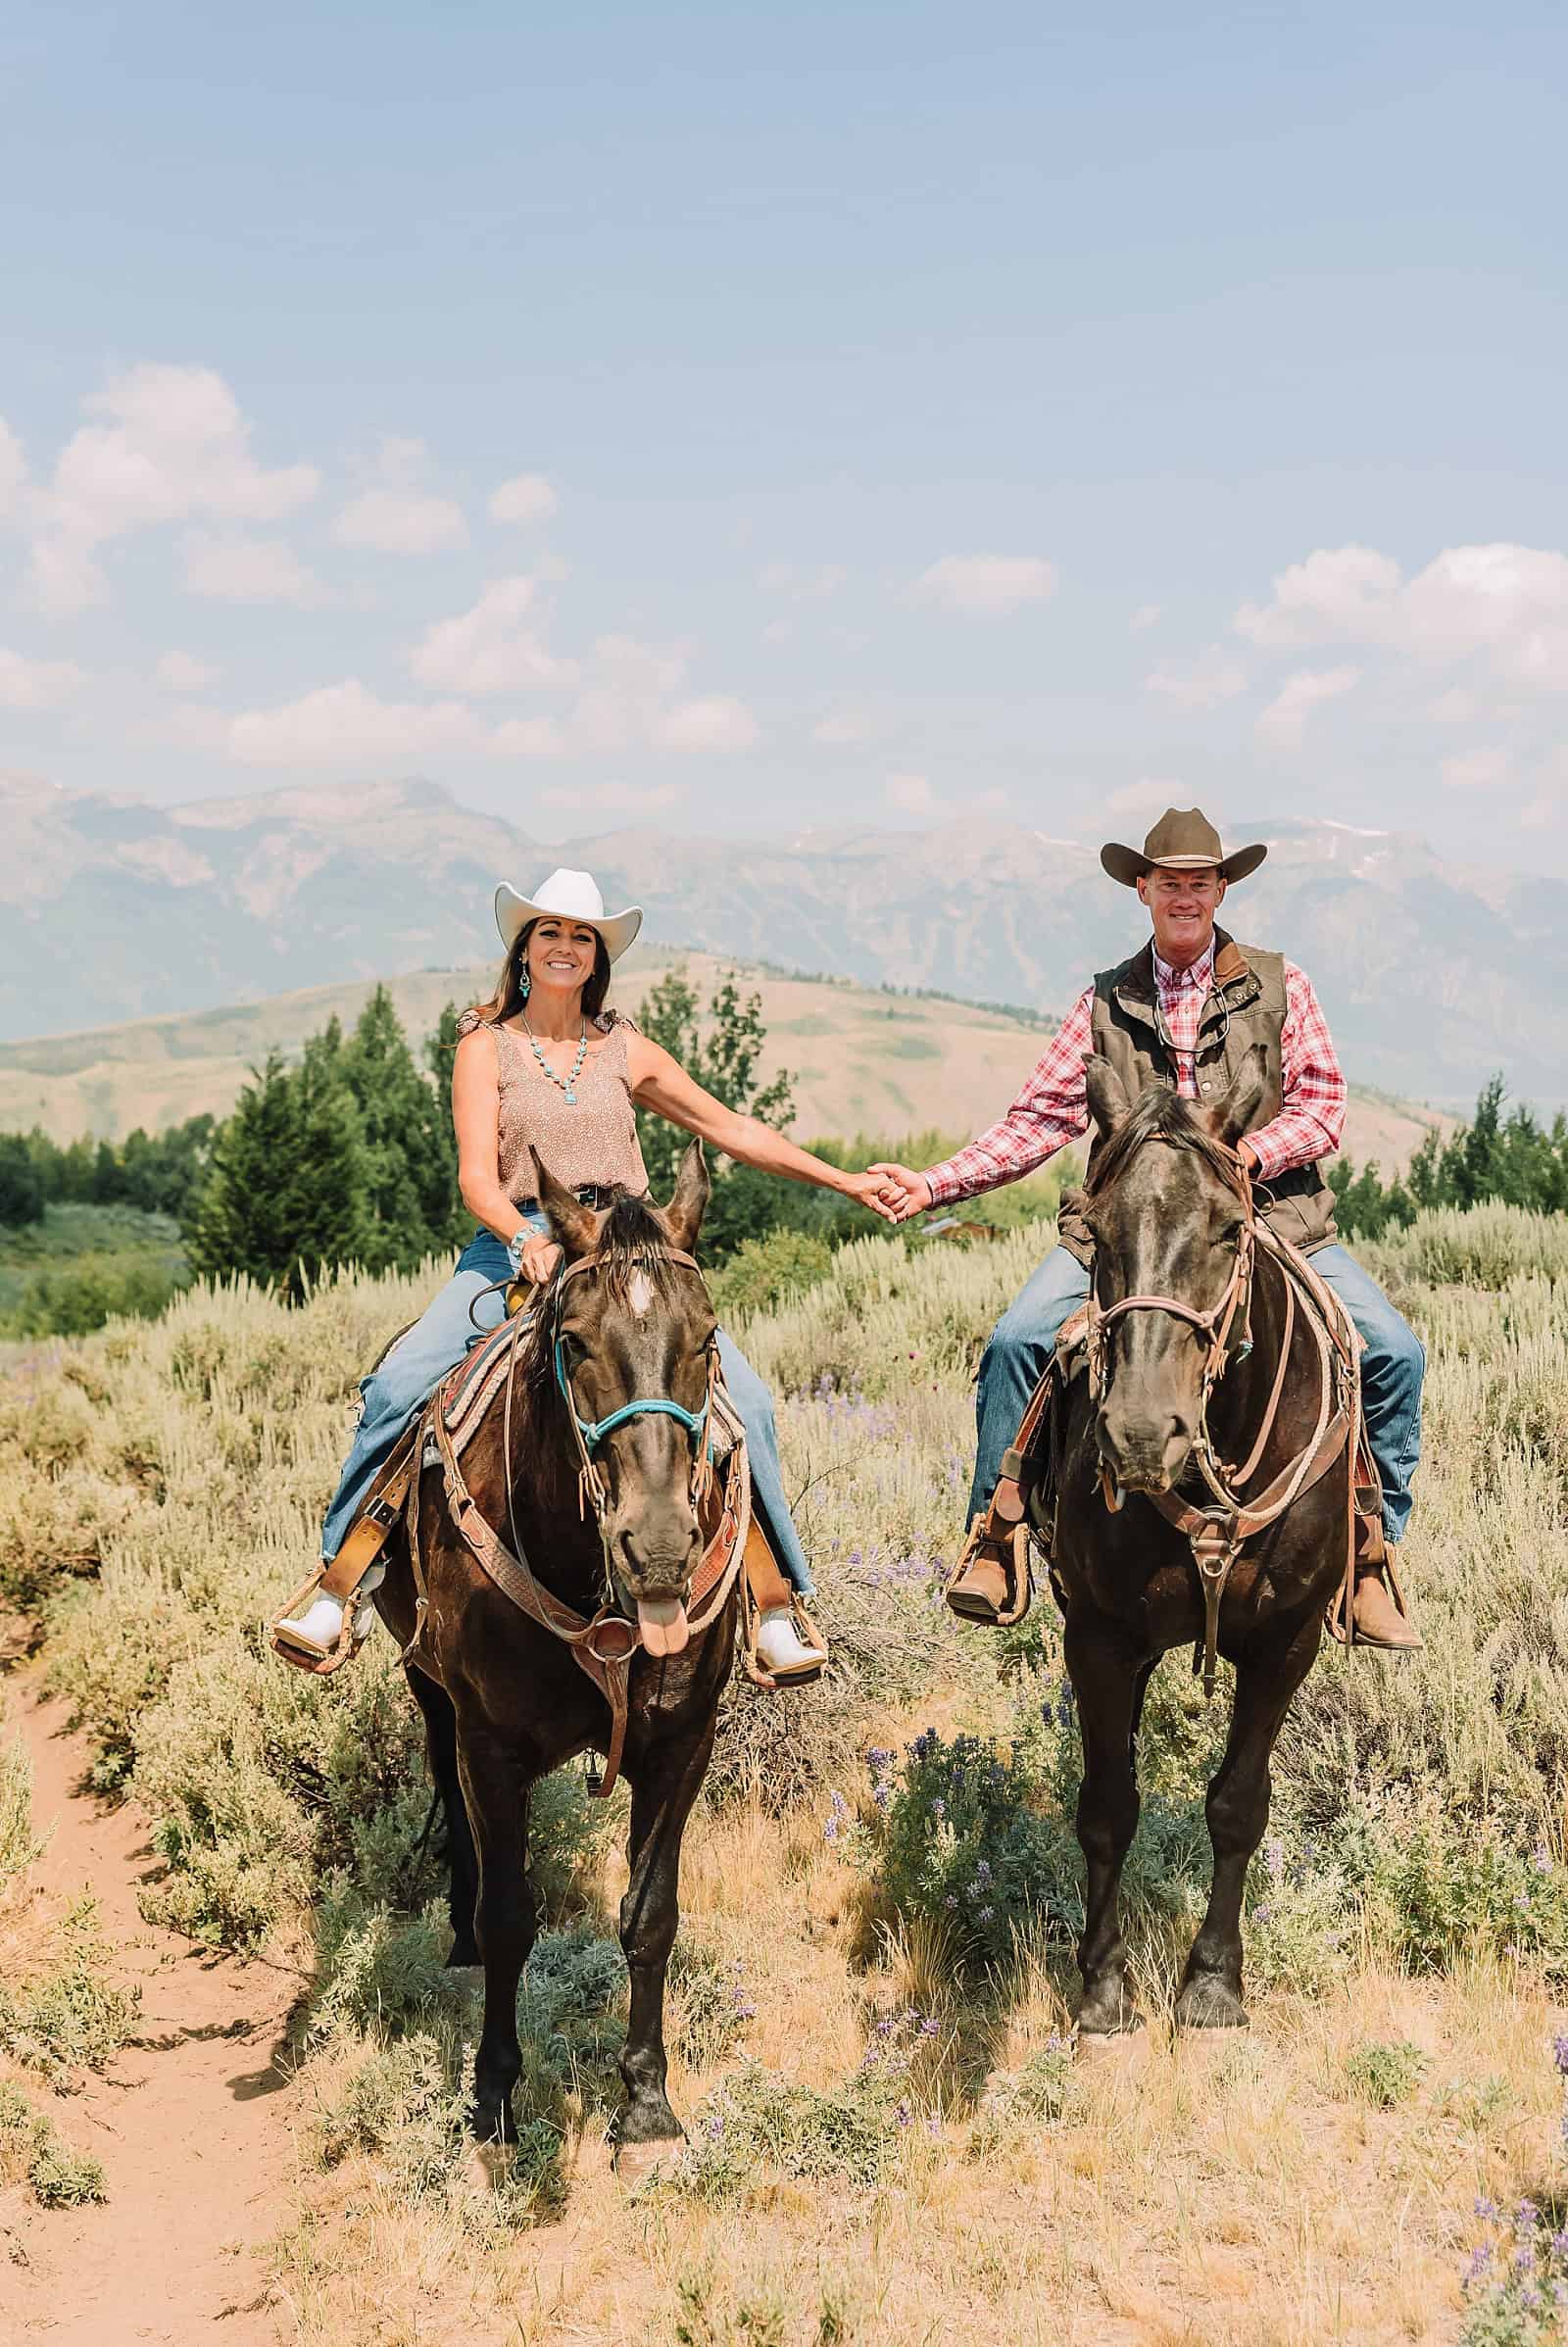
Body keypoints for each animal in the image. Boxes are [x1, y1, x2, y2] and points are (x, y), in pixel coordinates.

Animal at [372, 1145, 737, 2168]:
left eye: (707, 1339)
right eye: (574, 1342)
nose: (660, 1550)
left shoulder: (684, 1741)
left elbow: (650, 1917)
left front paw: (647, 2105)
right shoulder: (491, 1742)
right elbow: (509, 1918)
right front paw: (493, 2097)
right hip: (427, 1686)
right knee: (447, 1792)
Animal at [1060, 1047, 1351, 2036]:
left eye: (1230, 1228)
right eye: (1096, 1228)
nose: (1143, 1434)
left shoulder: (1287, 1641)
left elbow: (1237, 1804)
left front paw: (1216, 1980)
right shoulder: (1100, 1636)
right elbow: (1108, 1805)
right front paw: (1103, 1980)